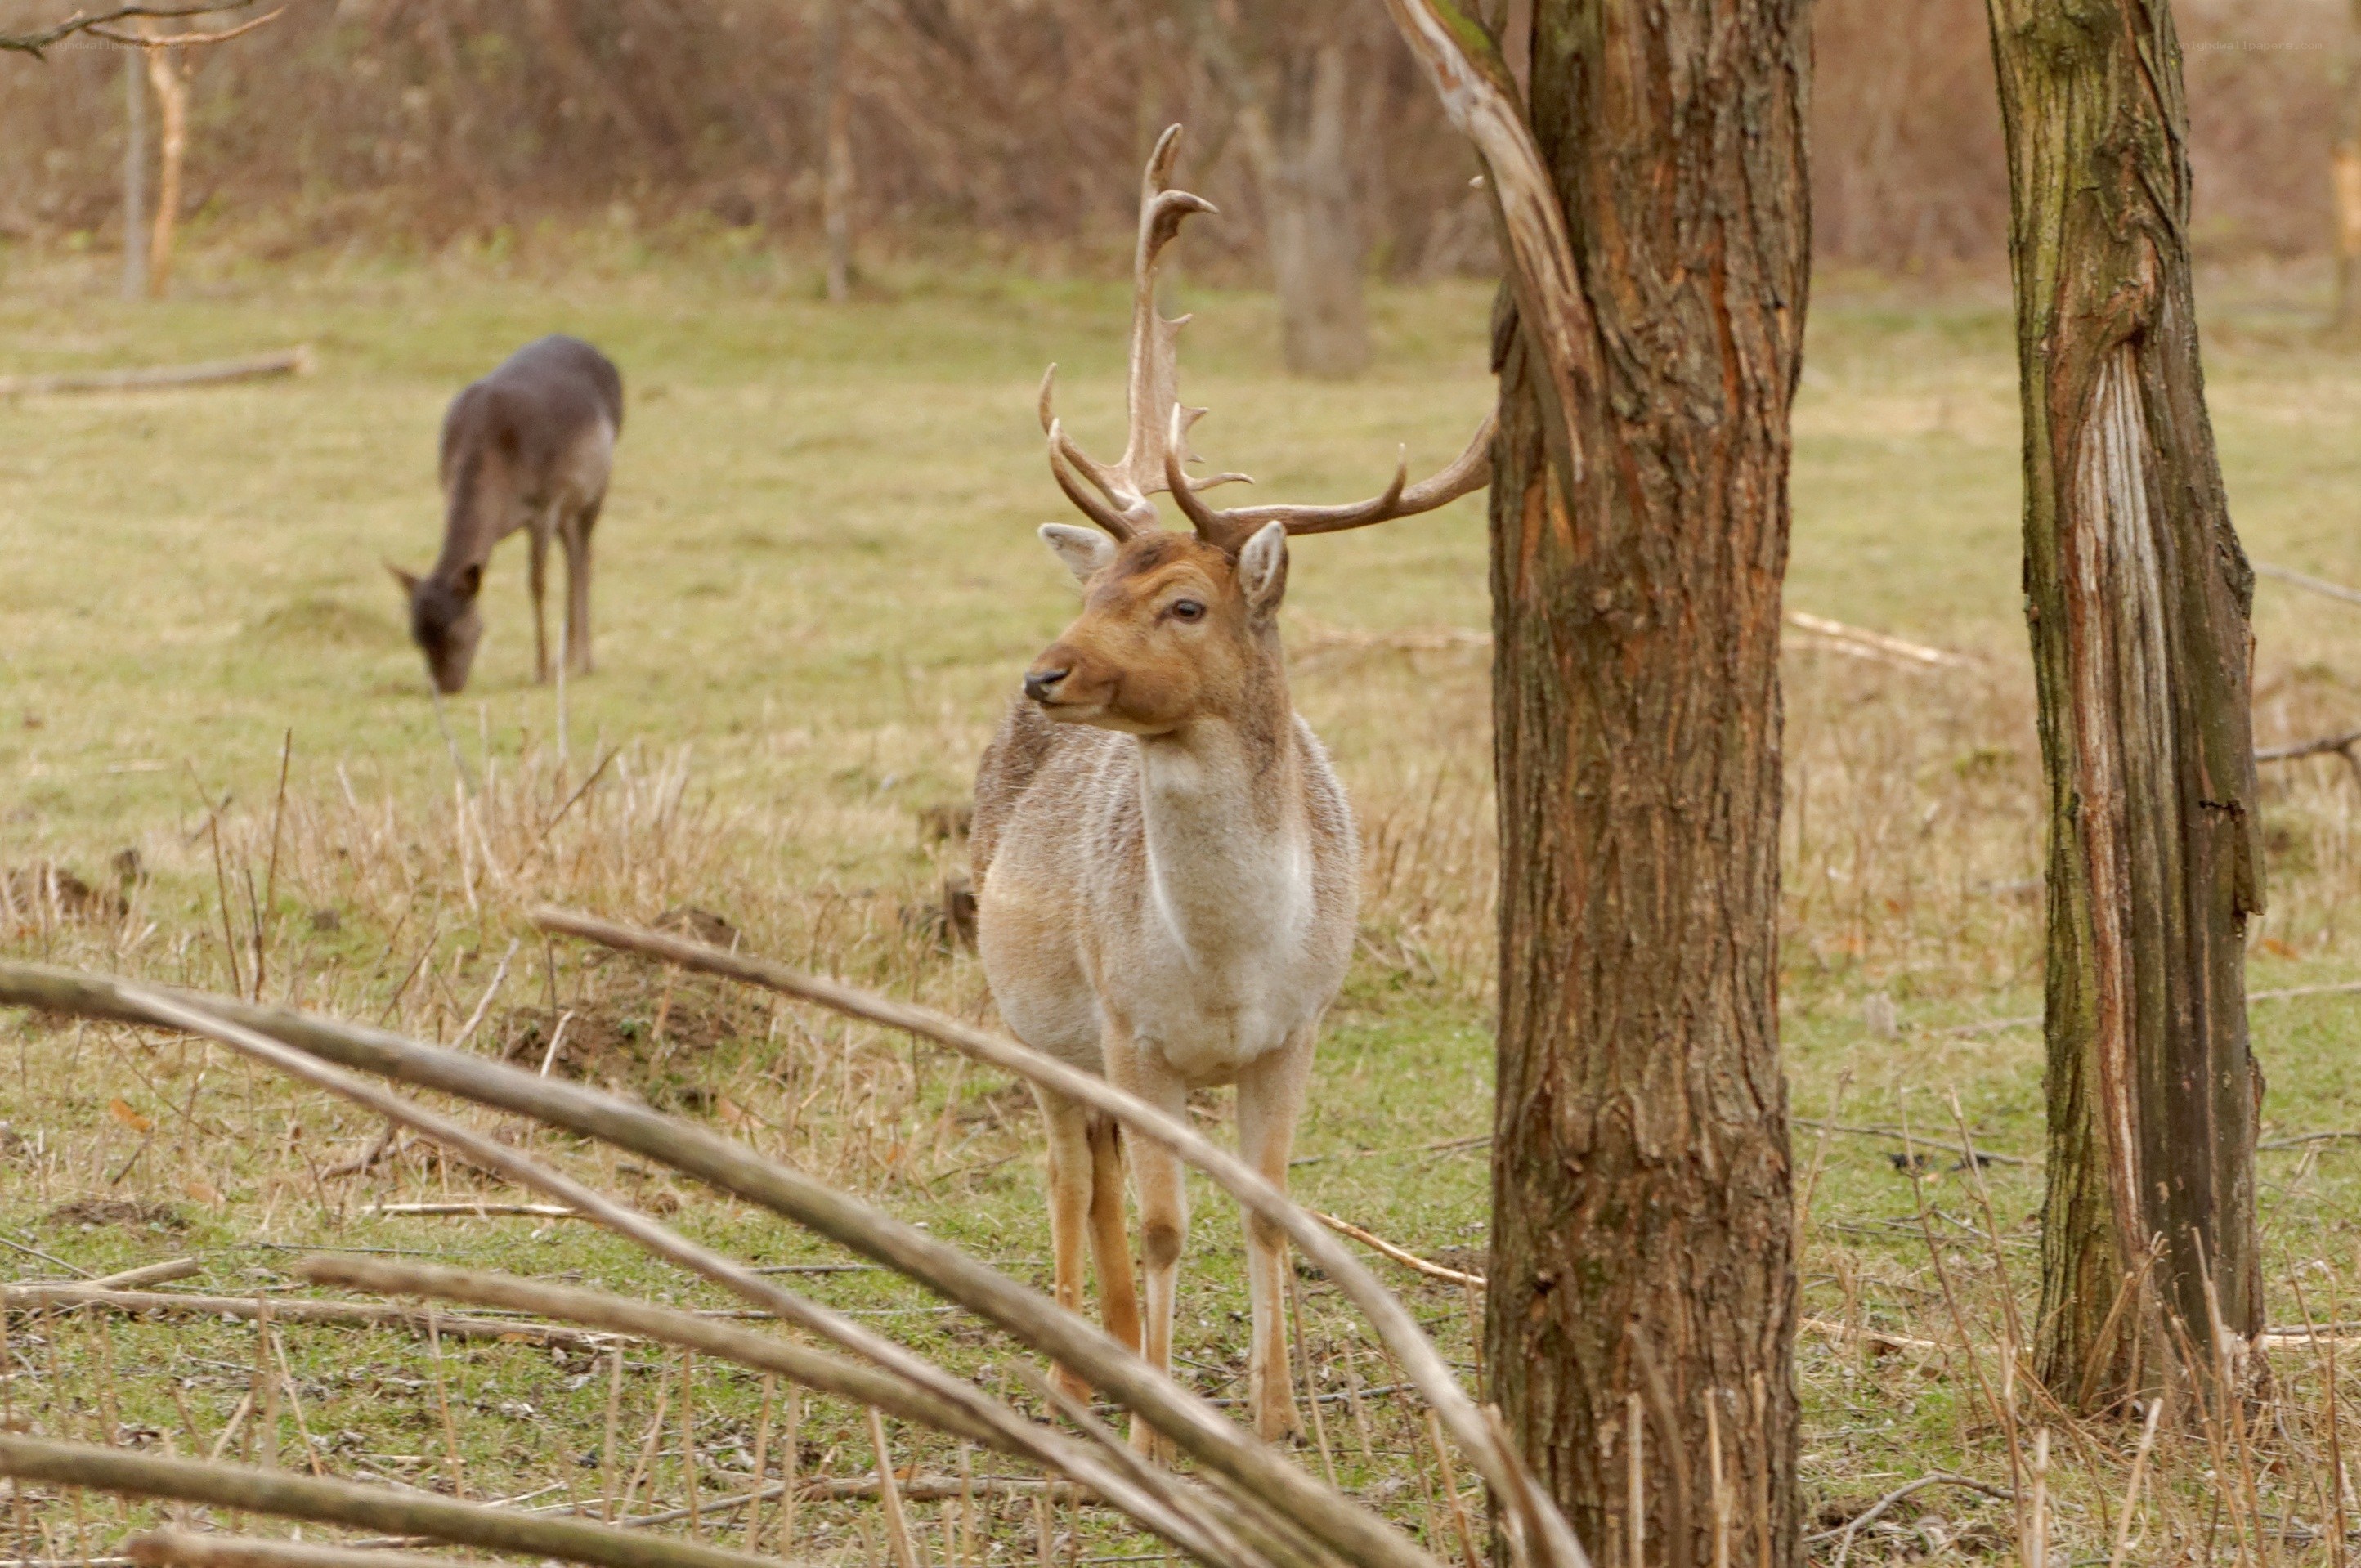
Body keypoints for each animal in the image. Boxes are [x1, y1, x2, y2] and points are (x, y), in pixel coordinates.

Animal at [390, 335, 623, 695]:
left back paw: (584, 661)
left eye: (456, 633)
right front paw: (551, 665)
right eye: (416, 637)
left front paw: (541, 671)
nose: (446, 688)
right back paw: (568, 658)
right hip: (569, 506)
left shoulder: (544, 505)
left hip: (596, 485)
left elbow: (537, 583)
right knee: (573, 554)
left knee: (583, 558)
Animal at [972, 126, 1493, 1449]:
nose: (1045, 671)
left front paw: (1274, 1416)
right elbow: (1163, 1222)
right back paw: (1075, 1375)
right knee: (1069, 1165)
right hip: (1027, 1011)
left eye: (1184, 604)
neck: (1226, 962)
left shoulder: (1297, 1026)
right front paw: (1162, 1428)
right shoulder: (1130, 1024)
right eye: (1099, 585)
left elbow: (1269, 1210)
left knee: (1097, 1168)